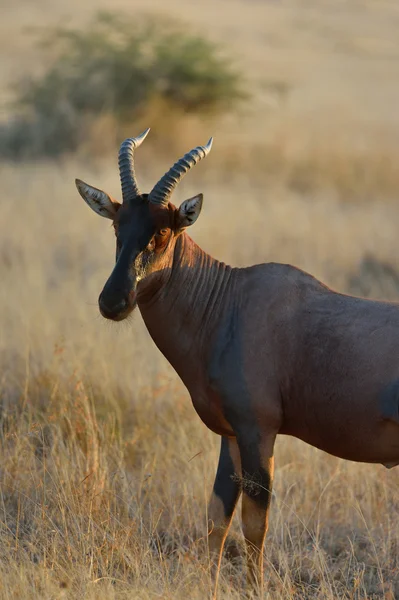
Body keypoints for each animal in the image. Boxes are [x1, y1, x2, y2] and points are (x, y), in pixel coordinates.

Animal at [76, 129, 399, 592]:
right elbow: (217, 519)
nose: (112, 301)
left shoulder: (258, 432)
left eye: (163, 231)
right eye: (118, 226)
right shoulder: (229, 435)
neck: (229, 301)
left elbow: (254, 524)